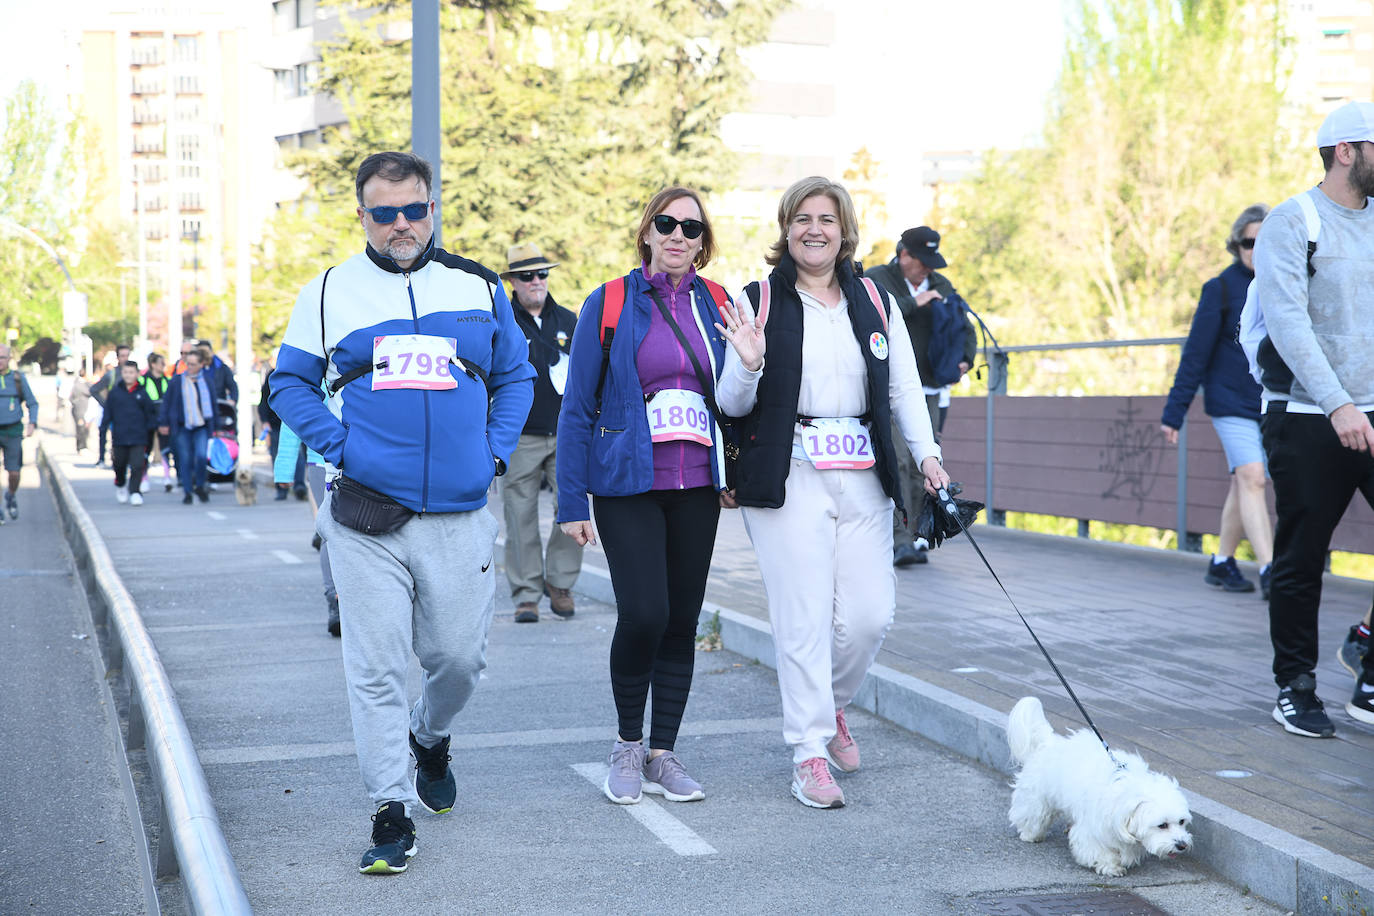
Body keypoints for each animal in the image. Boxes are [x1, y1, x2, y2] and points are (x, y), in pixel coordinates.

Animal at [1005, 697, 1187, 878]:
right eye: (1162, 825)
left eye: (1182, 822)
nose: (1182, 845)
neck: (1127, 797)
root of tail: (1049, 742)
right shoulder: (1093, 830)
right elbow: (1101, 851)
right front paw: (1111, 867)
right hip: (1036, 798)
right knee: (1033, 814)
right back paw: (1030, 834)